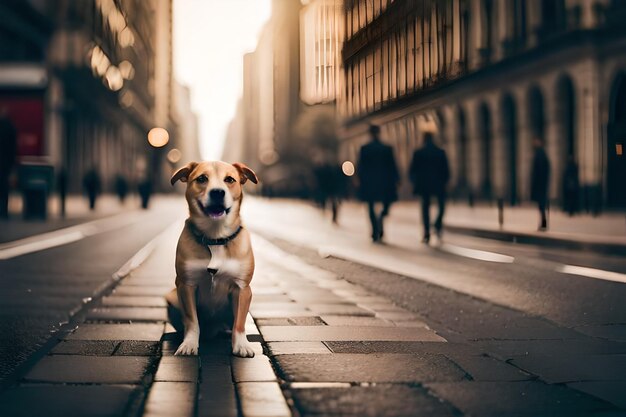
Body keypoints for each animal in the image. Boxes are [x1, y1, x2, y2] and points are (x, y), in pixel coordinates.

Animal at [165, 161, 258, 356]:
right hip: (171, 297)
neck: (215, 237)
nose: (217, 192)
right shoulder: (186, 286)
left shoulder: (242, 289)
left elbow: (239, 322)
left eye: (229, 179)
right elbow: (192, 320)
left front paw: (241, 345)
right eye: (201, 178)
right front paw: (189, 344)